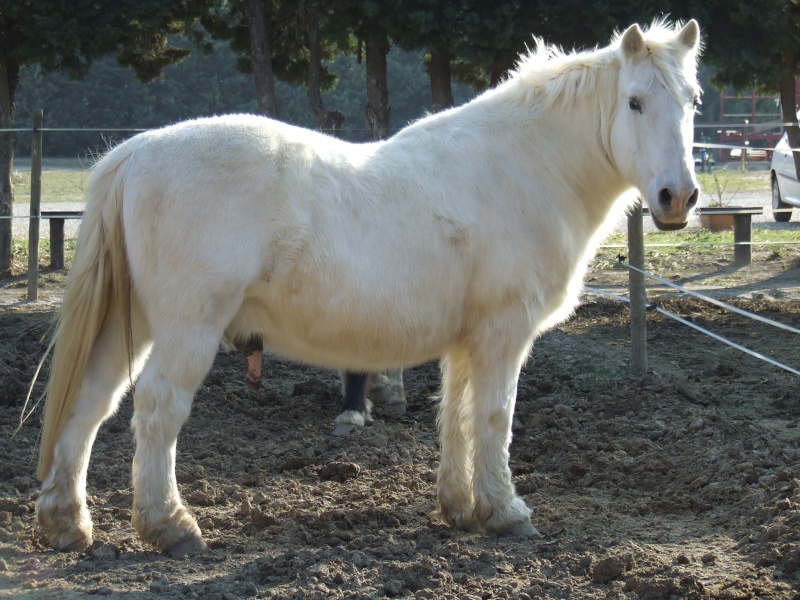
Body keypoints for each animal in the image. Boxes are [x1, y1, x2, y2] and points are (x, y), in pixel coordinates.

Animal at [34, 22, 700, 556]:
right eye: (635, 102)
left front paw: (460, 509)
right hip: (186, 330)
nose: (678, 198)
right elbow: (493, 416)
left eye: (692, 101)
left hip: (136, 324)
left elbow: (455, 415)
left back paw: (66, 523)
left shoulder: (466, 342)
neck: (521, 168)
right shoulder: (503, 334)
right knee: (157, 409)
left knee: (90, 403)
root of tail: (138, 150)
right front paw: (505, 512)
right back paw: (170, 527)